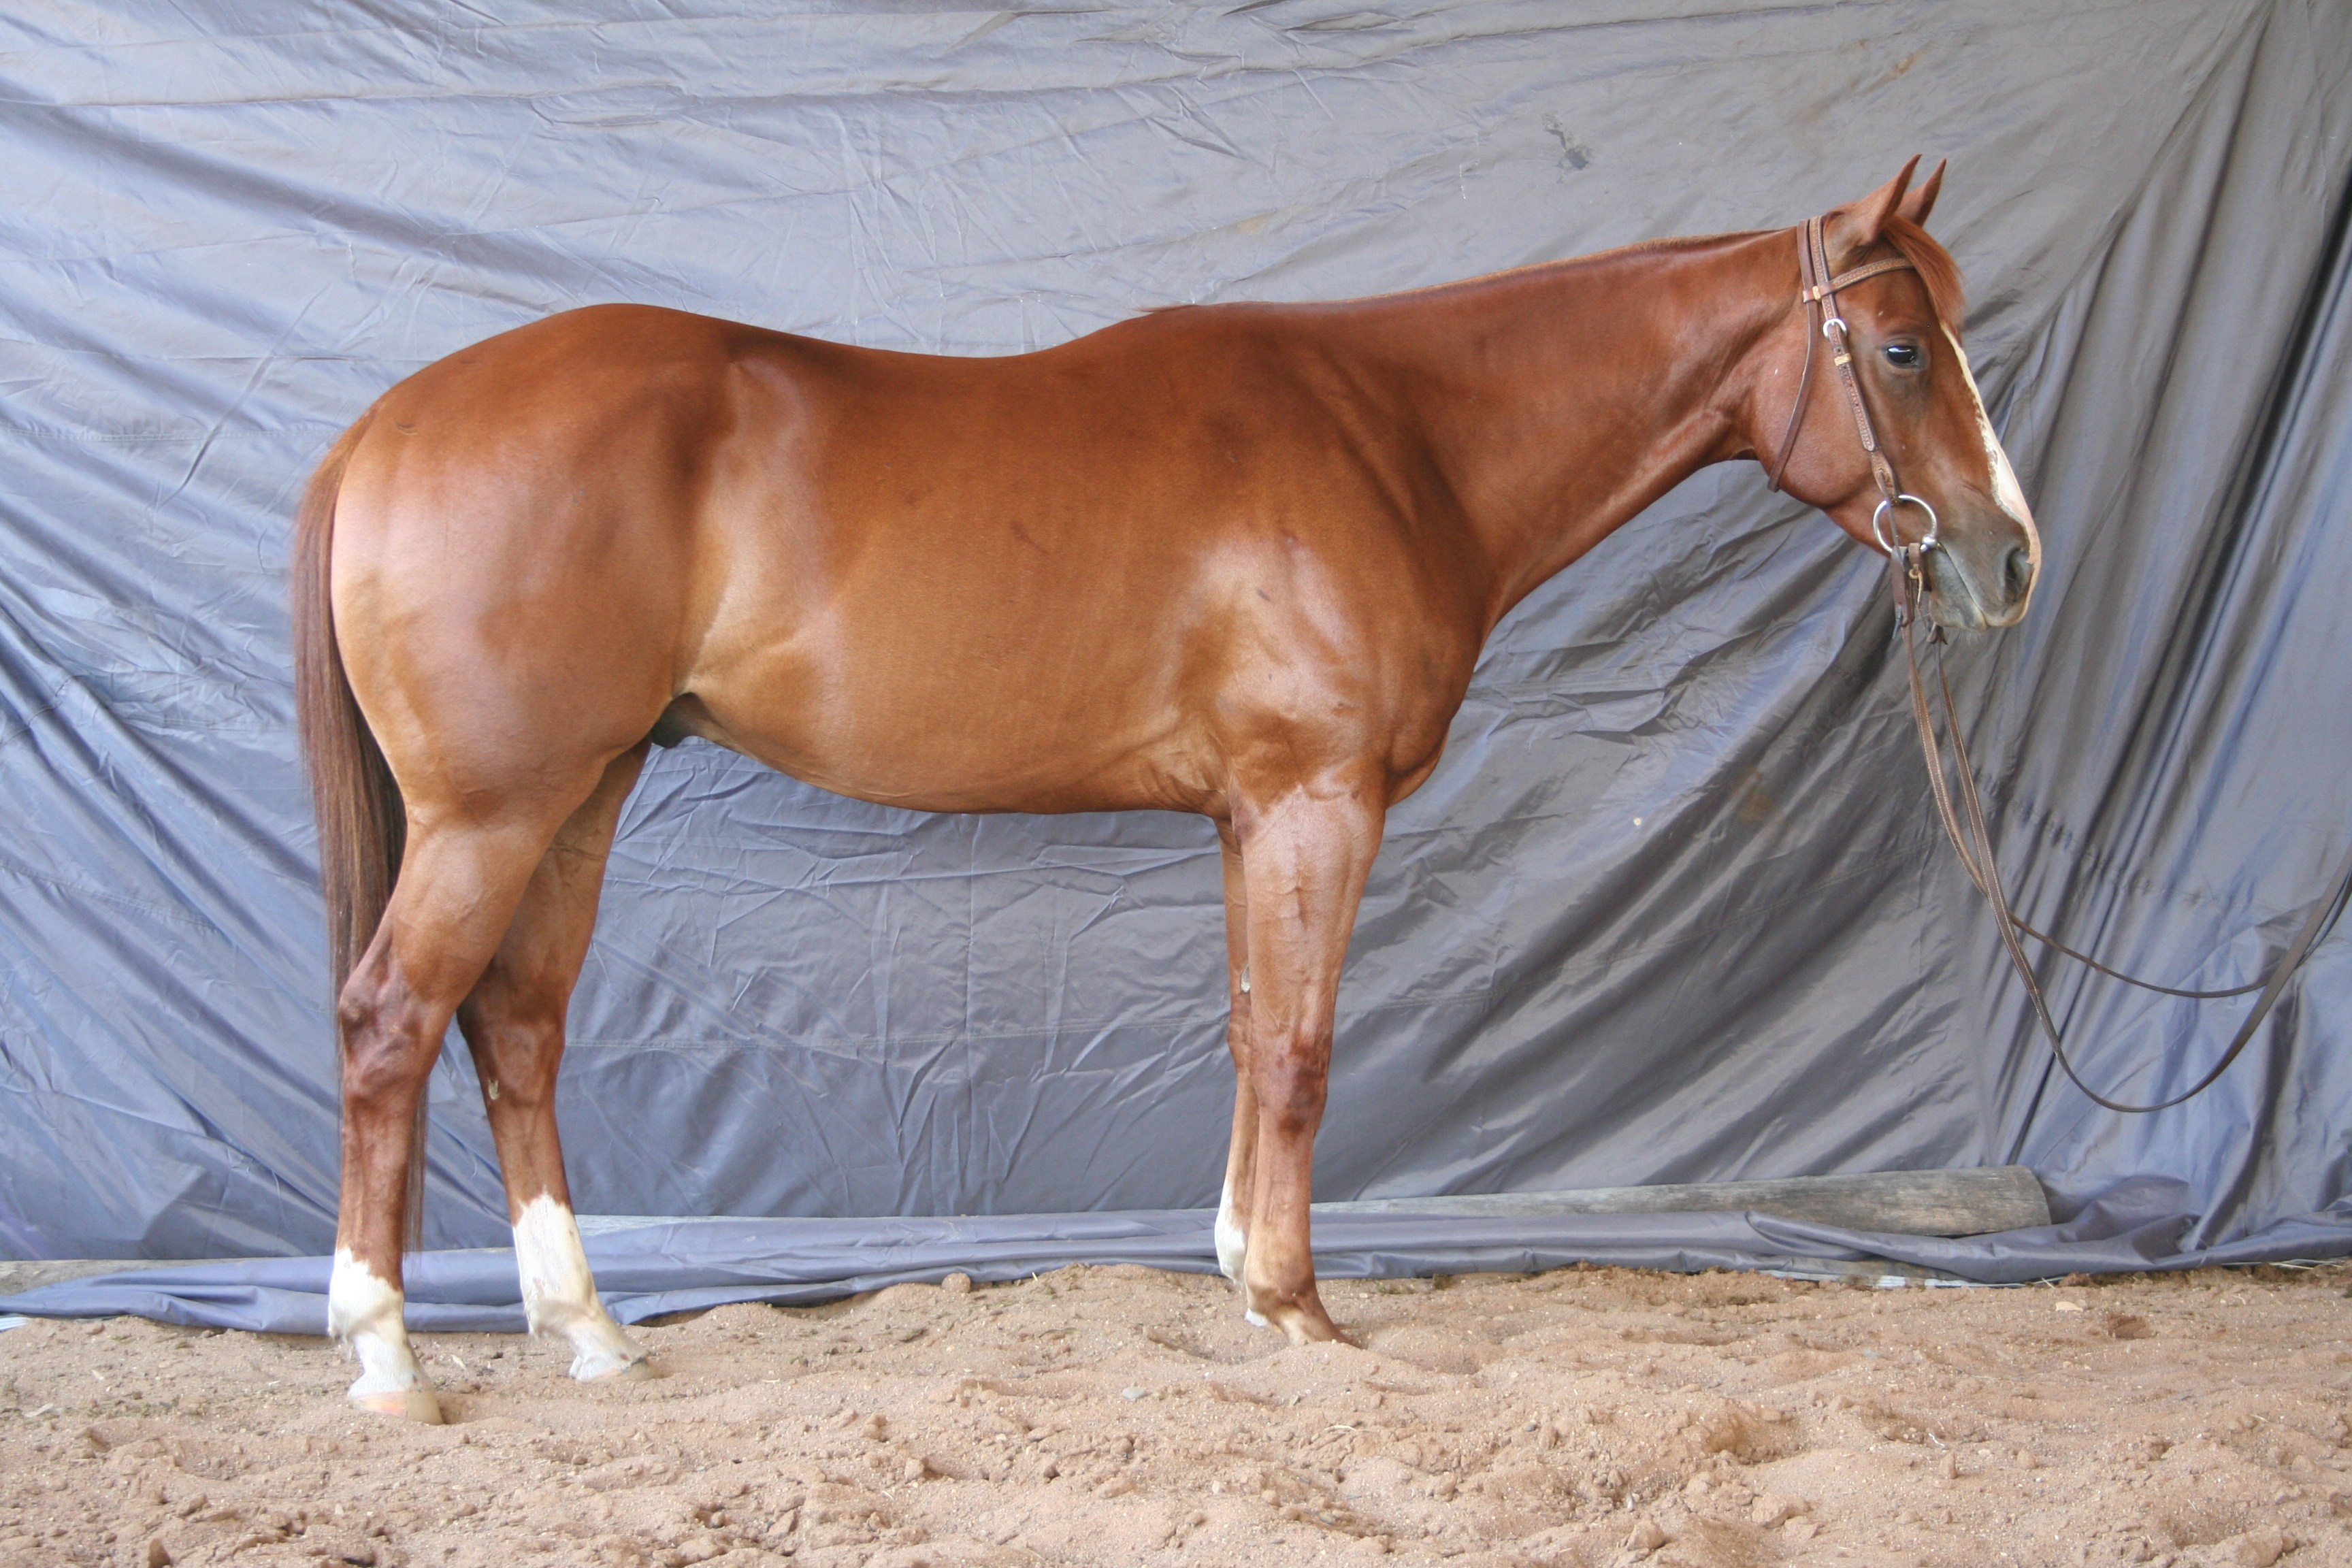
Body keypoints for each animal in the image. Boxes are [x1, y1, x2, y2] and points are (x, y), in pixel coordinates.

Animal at [293, 157, 2037, 1421]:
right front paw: (1302, 1309)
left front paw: (1240, 1274)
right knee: (391, 1022)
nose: (2008, 560)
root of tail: (387, 422)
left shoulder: (1248, 815)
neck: (1396, 437)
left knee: (516, 1032)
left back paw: (587, 1331)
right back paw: (383, 1352)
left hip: (578, 798)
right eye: (1901, 348)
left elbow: (1250, 1029)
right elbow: (1303, 1049)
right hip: (493, 816)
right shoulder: (1319, 800)